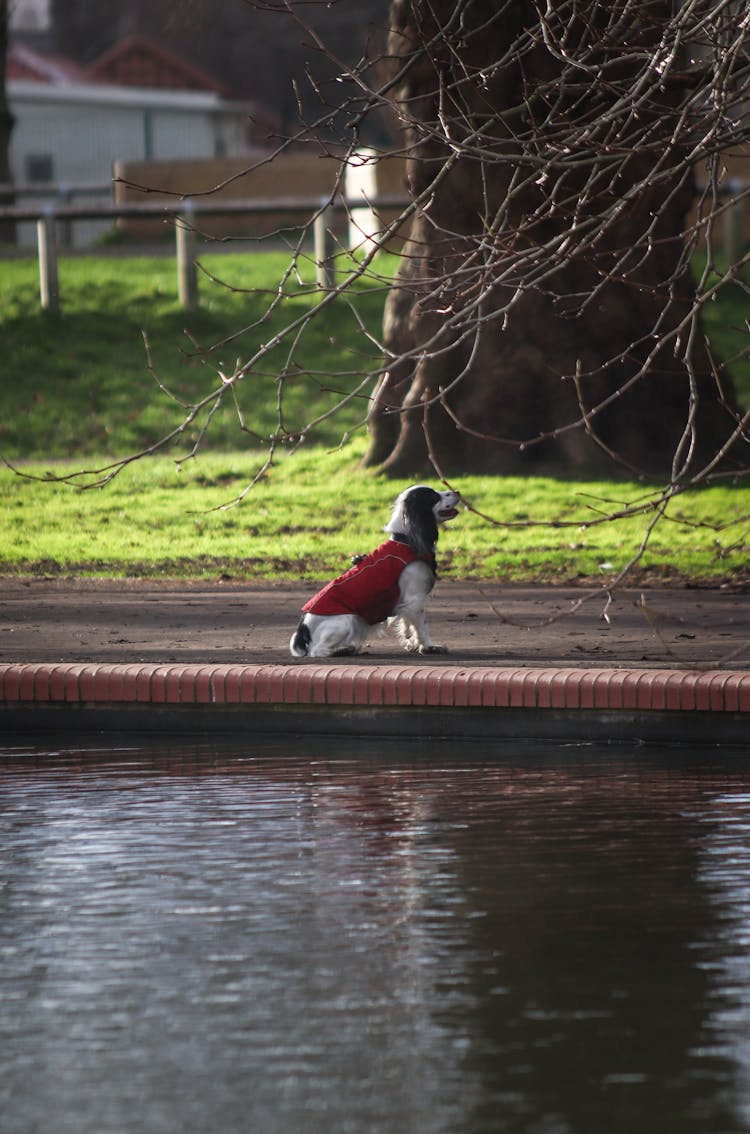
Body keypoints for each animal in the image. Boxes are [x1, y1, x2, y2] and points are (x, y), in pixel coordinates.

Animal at [289, 485, 458, 662]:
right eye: (434, 496)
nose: (457, 492)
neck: (406, 540)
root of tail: (302, 630)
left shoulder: (406, 602)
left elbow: (407, 624)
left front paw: (411, 644)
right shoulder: (415, 600)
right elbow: (422, 627)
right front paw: (429, 647)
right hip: (345, 621)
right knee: (317, 650)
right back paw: (343, 650)